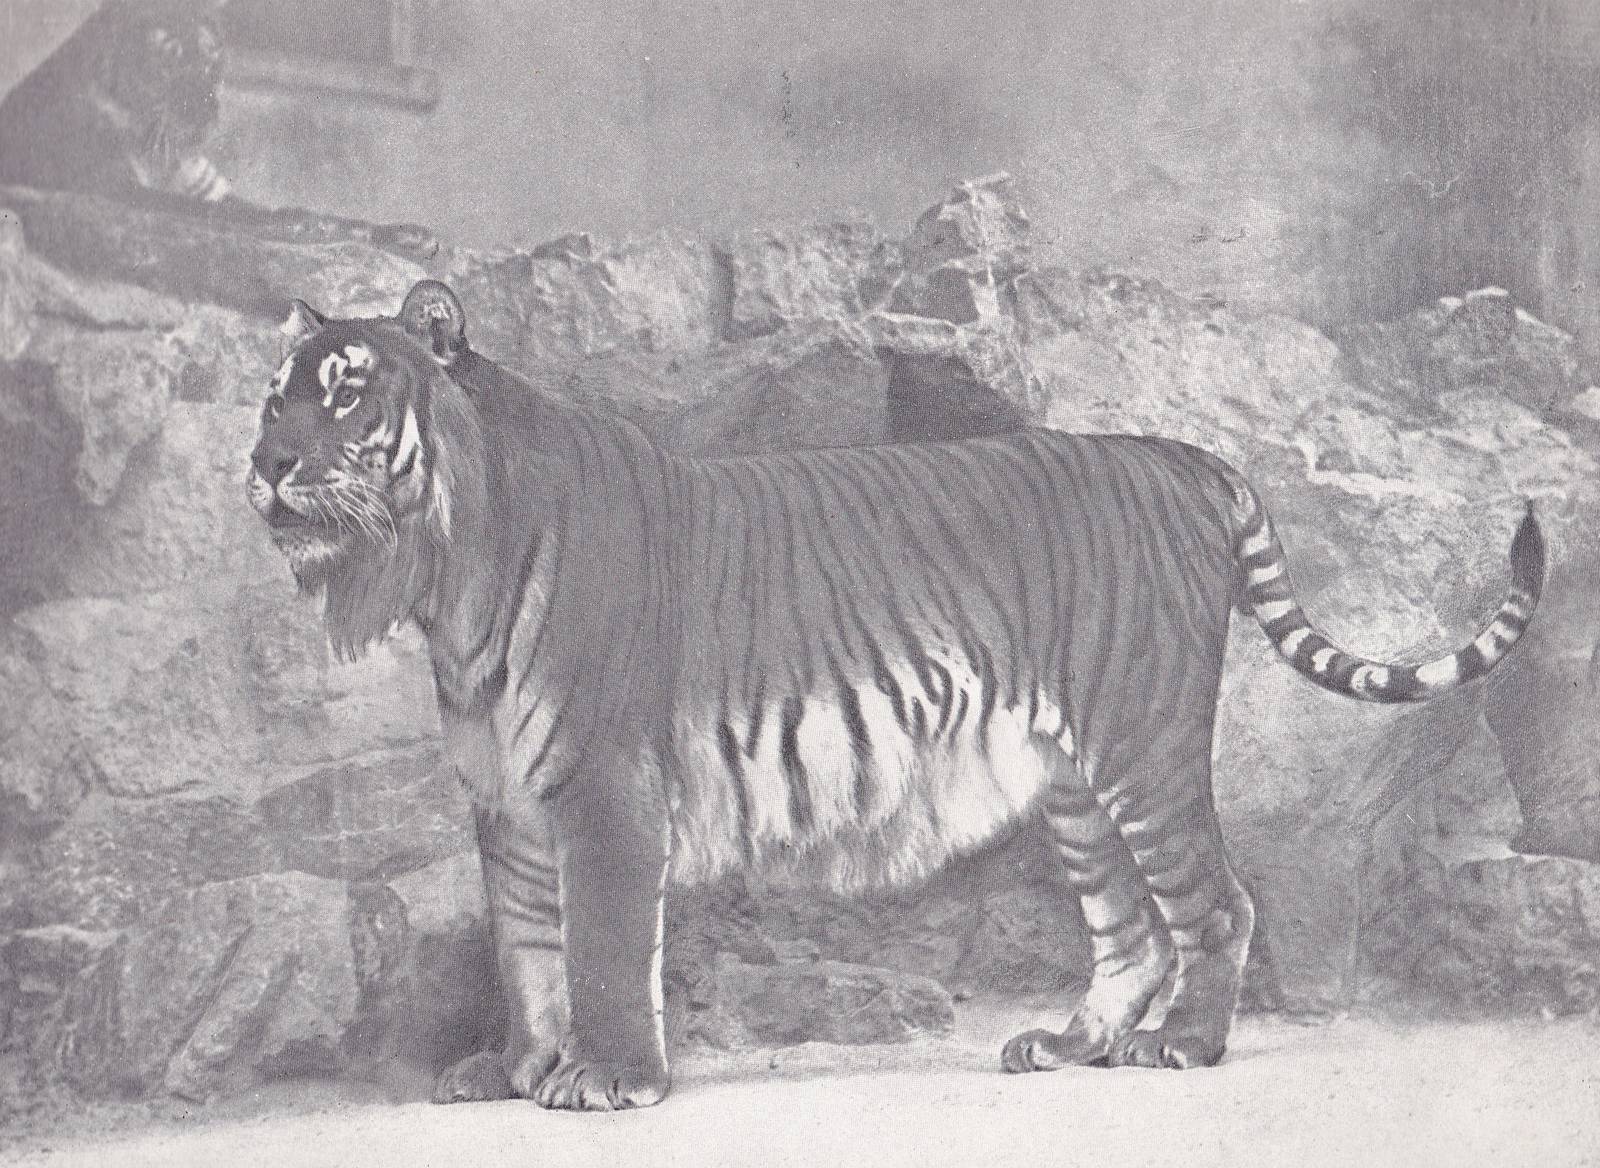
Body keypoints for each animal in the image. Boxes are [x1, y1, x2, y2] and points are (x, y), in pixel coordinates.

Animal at [246, 278, 1544, 1111]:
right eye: (274, 397)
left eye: (347, 393)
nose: (263, 464)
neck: (444, 576)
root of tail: (1182, 455)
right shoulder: (506, 797)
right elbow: (524, 946)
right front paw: (512, 1069)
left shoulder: (602, 787)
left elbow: (603, 942)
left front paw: (607, 1079)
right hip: (1076, 782)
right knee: (1127, 930)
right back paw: (1066, 1045)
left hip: (1145, 744)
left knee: (1214, 904)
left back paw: (1183, 1048)